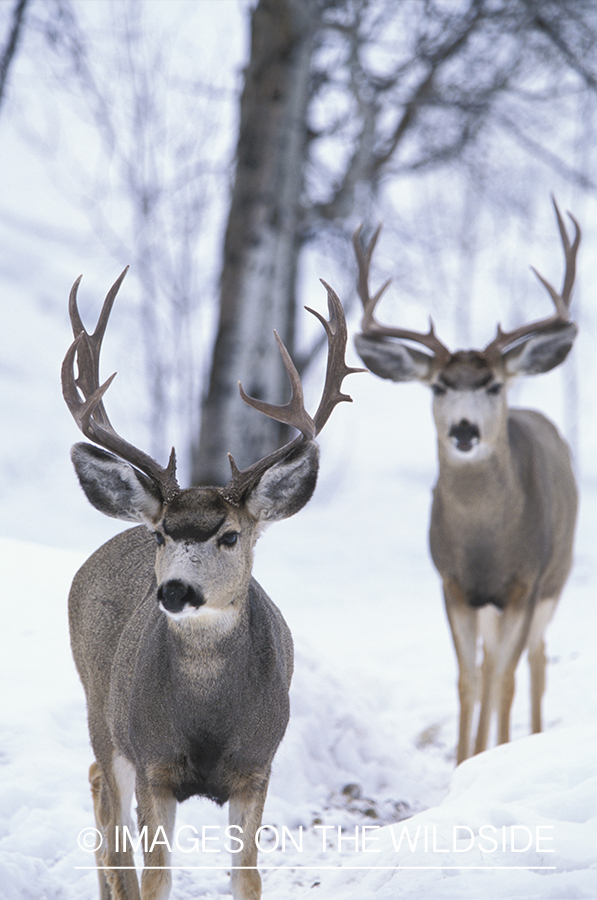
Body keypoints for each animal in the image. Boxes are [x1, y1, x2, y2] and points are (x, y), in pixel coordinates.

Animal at [61, 272, 358, 900]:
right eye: (161, 536)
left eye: (229, 535)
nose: (174, 591)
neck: (207, 721)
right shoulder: (153, 761)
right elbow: (155, 878)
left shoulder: (256, 765)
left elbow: (247, 876)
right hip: (102, 711)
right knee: (108, 814)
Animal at [354, 200, 576, 764]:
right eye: (438, 386)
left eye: (493, 385)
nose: (464, 429)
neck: (485, 545)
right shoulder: (452, 584)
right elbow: (468, 681)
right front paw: (461, 762)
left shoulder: (525, 583)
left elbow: (505, 680)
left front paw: (490, 758)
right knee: (494, 664)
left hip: (555, 582)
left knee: (533, 662)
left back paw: (526, 741)